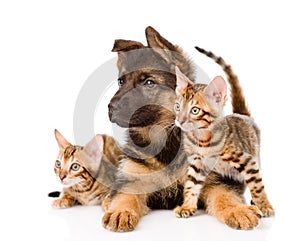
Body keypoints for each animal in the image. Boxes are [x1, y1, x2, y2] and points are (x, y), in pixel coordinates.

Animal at [103, 26, 260, 232]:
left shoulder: (215, 180)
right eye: (121, 82)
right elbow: (125, 196)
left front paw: (238, 210)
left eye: (149, 82)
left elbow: (225, 196)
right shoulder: (133, 179)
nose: (110, 108)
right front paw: (120, 212)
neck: (166, 139)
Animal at [173, 67, 274, 221]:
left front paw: (265, 206)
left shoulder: (247, 161)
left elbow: (257, 186)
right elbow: (191, 185)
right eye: (178, 107)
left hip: (256, 156)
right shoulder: (197, 163)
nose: (179, 121)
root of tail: (242, 115)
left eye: (195, 110)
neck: (202, 139)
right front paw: (187, 207)